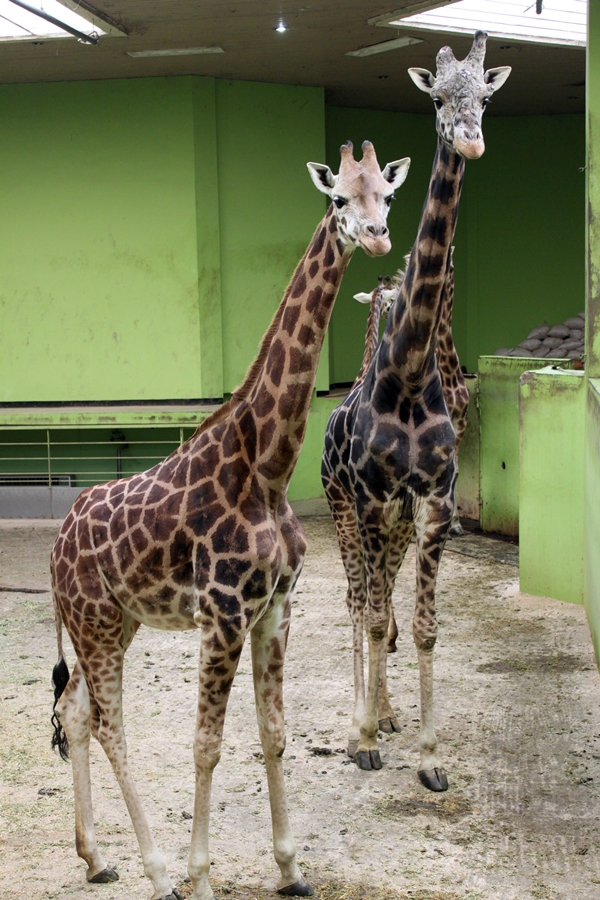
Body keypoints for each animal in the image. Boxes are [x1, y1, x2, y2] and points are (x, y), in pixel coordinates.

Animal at [49, 140, 410, 900]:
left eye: (387, 195)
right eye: (339, 197)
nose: (375, 236)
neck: (266, 469)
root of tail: (55, 546)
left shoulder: (275, 607)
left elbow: (273, 733)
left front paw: (291, 867)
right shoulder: (221, 615)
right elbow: (206, 745)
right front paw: (201, 876)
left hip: (115, 622)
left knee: (75, 711)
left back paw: (96, 858)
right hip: (96, 624)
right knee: (108, 722)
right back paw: (157, 870)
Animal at [320, 32, 510, 789]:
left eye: (484, 95)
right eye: (435, 98)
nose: (471, 139)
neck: (405, 370)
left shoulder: (433, 502)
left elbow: (424, 628)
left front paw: (429, 756)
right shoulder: (372, 500)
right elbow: (375, 619)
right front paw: (365, 739)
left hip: (396, 523)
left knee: (383, 601)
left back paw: (390, 712)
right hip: (344, 508)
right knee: (357, 602)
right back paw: (358, 722)